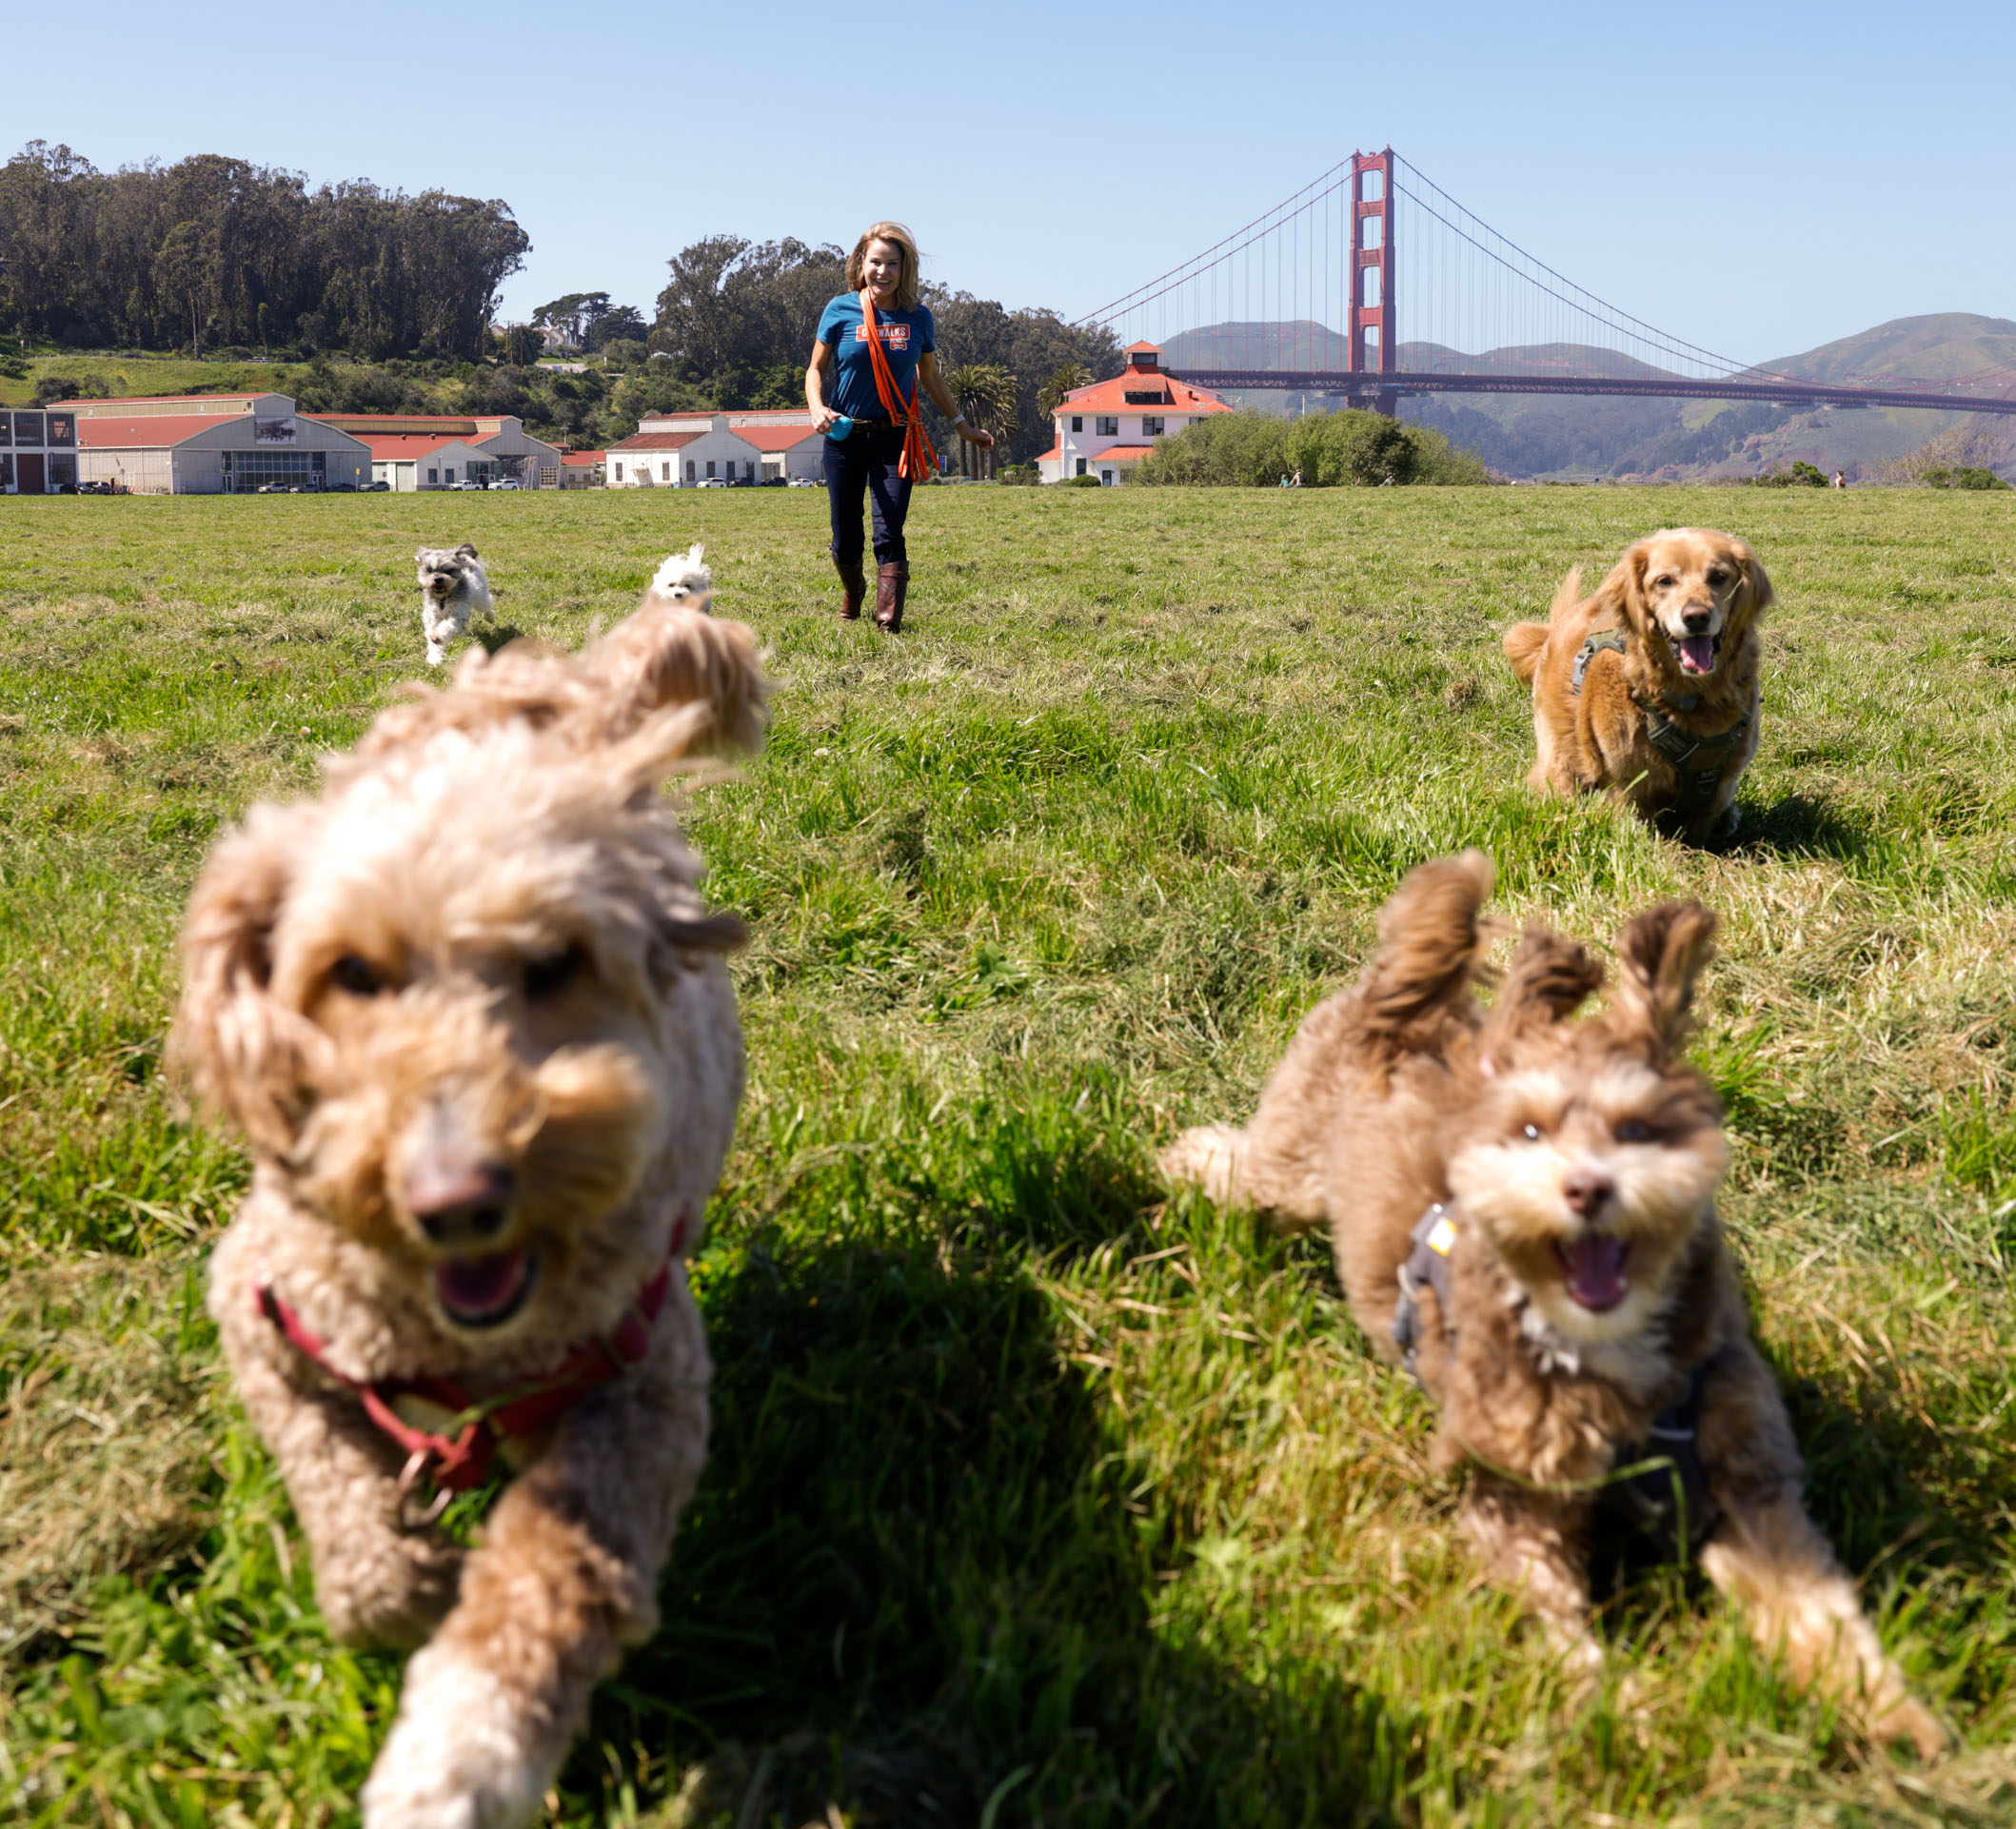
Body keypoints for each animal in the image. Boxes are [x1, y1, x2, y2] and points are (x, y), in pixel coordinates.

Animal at [173, 580, 765, 1822]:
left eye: (555, 962)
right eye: (352, 973)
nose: (456, 1196)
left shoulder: (639, 1386)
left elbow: (557, 1574)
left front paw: (462, 1751)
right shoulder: (264, 1317)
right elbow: (353, 1536)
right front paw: (409, 1579)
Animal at [415, 544, 493, 673]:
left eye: (448, 570)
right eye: (430, 570)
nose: (438, 579)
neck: (443, 599)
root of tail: (466, 561)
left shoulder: (458, 614)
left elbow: (447, 625)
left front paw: (437, 636)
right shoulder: (432, 617)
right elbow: (432, 637)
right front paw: (434, 657)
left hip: (481, 596)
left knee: (487, 605)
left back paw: (490, 617)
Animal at [1169, 858, 1935, 1758]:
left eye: (1637, 1129)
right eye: (1530, 1133)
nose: (1587, 1188)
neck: (1606, 1358)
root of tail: (1405, 1009)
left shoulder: (1746, 1476)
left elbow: (1815, 1609)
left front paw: (1894, 1717)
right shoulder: (1513, 1489)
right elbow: (1555, 1624)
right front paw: (1616, 1716)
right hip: (1286, 1169)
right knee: (1235, 1163)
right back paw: (1177, 1162)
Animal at [1508, 528, 1773, 842]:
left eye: (1719, 577)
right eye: (1664, 581)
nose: (1696, 617)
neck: (1691, 698)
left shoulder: (1717, 792)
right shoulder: (1626, 788)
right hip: (1561, 760)